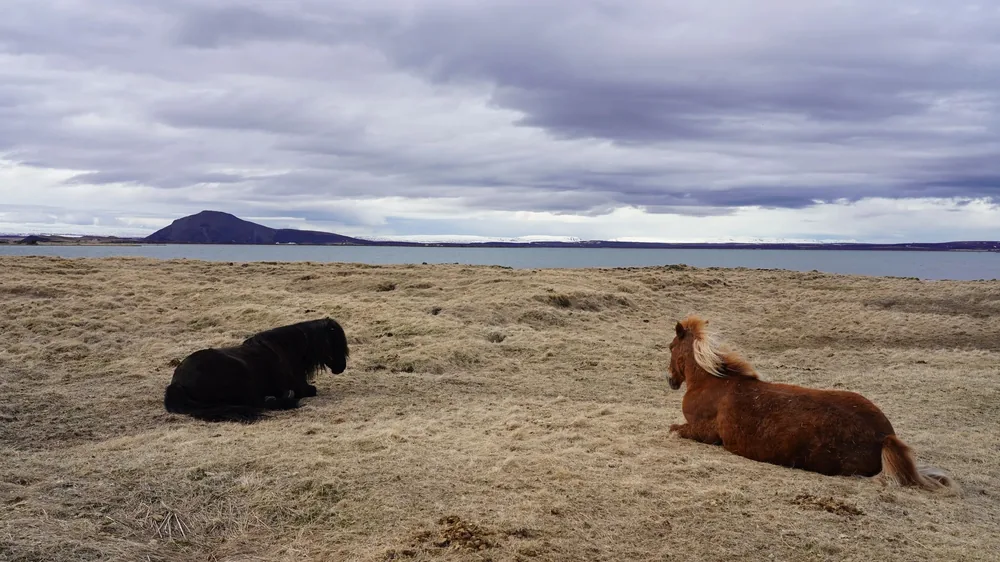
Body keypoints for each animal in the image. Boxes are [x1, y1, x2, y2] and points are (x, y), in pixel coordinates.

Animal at [163, 317, 350, 423]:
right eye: (334, 341)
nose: (341, 367)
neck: (286, 351)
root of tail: (177, 382)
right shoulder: (302, 387)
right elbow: (311, 390)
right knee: (256, 403)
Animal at [665, 314, 957, 492]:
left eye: (669, 347)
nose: (670, 380)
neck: (709, 383)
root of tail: (886, 437)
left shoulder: (705, 433)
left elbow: (675, 429)